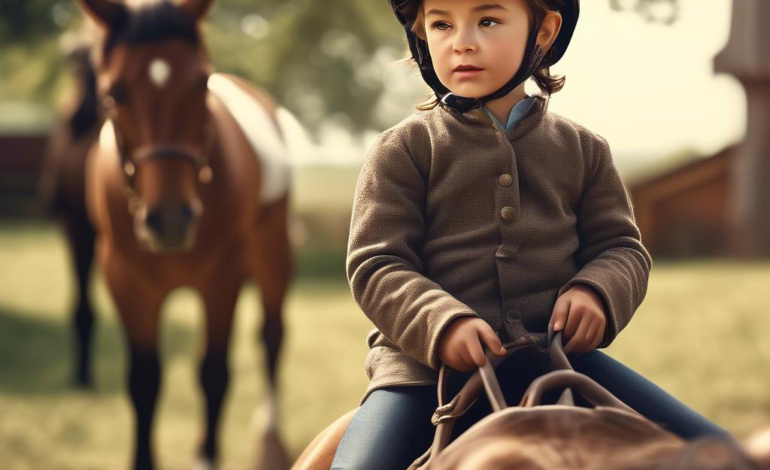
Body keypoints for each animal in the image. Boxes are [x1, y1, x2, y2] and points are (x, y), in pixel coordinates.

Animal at [74, 0, 292, 470]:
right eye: (114, 93)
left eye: (201, 83)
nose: (171, 220)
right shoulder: (125, 282)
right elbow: (144, 381)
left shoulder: (222, 279)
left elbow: (213, 373)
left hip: (272, 252)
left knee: (271, 336)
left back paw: (270, 439)